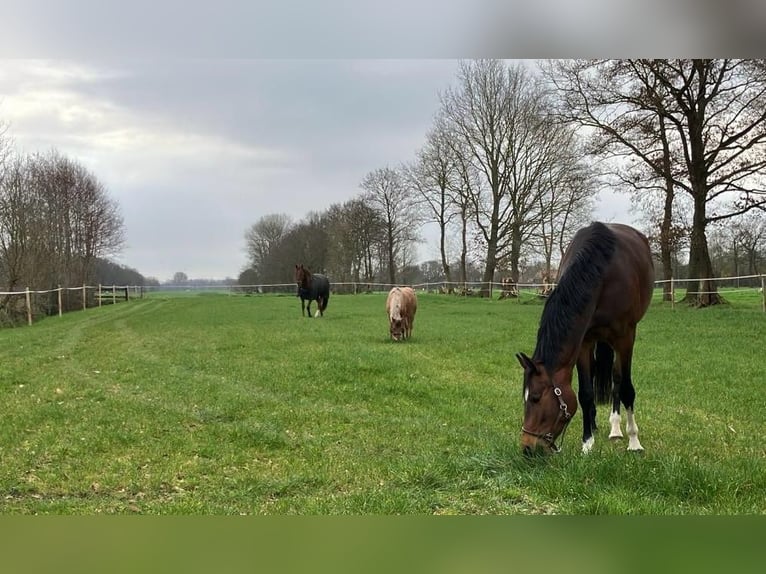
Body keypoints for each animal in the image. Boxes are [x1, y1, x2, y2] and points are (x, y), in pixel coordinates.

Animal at [516, 222, 654, 455]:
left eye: (535, 397)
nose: (527, 448)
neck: (603, 272)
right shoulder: (584, 342)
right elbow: (585, 394)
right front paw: (587, 443)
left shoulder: (626, 337)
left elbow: (627, 388)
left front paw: (634, 442)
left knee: (617, 378)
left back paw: (616, 429)